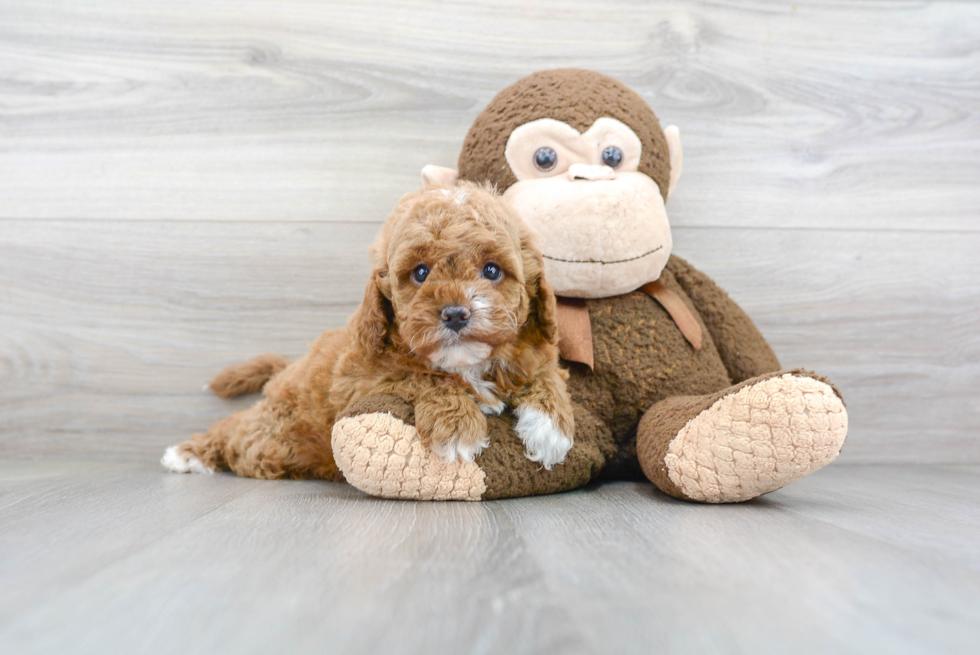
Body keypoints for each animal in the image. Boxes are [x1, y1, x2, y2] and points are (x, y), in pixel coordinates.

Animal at [161, 183, 576, 482]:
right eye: (420, 273)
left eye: (491, 270)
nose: (456, 314)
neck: (467, 363)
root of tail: (289, 366)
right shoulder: (362, 380)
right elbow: (424, 376)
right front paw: (457, 426)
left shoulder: (536, 352)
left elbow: (547, 374)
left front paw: (551, 430)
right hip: (275, 433)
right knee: (235, 429)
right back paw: (188, 453)